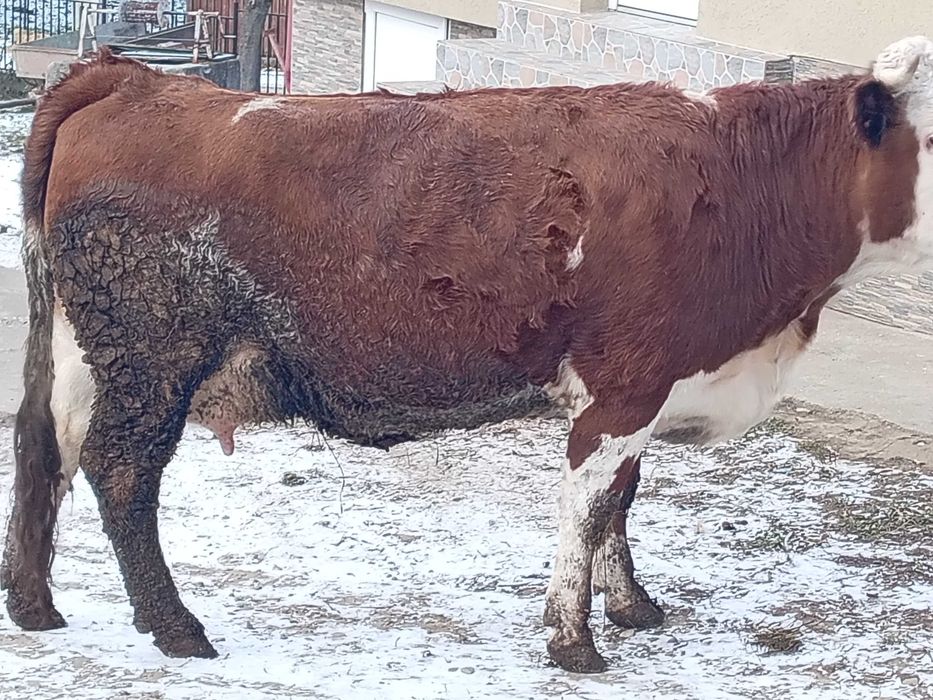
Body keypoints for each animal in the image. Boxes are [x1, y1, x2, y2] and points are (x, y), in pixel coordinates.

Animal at [1, 37, 932, 673]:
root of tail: (138, 78)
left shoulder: (646, 385)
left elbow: (622, 503)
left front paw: (631, 606)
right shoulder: (623, 387)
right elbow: (590, 509)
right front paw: (573, 641)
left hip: (85, 352)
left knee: (44, 446)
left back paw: (34, 606)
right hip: (153, 353)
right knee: (120, 470)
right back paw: (175, 627)